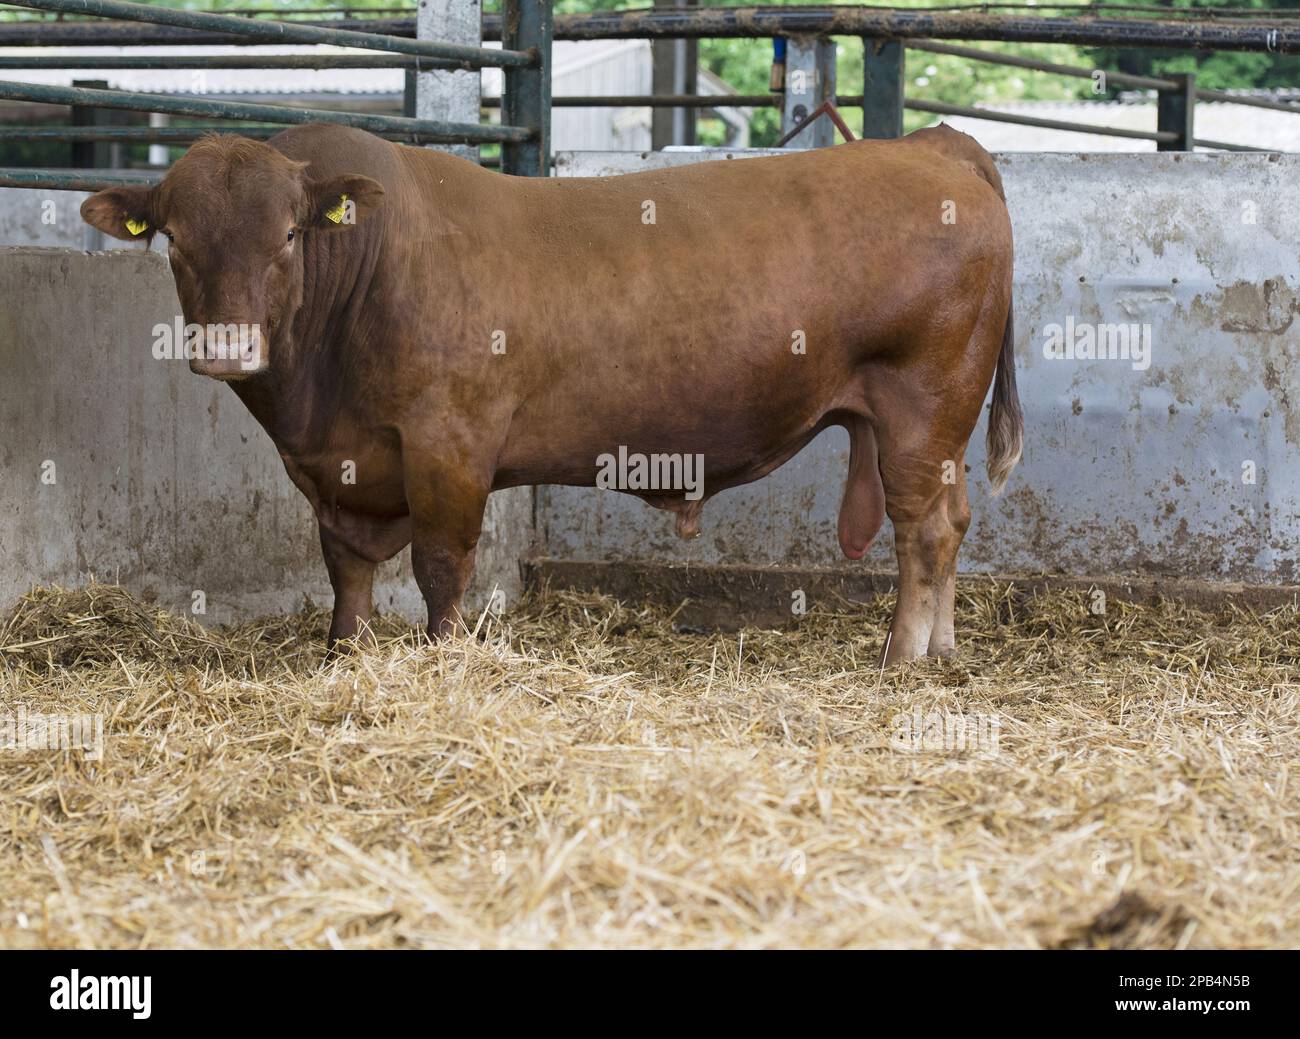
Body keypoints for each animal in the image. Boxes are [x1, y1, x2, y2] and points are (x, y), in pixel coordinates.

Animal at [80, 122, 1020, 665]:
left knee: (925, 529)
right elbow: (345, 570)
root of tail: (932, 142)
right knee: (951, 520)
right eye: (174, 239)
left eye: (285, 235)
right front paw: (344, 655)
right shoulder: (336, 467)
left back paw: (903, 657)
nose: (226, 348)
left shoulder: (448, 442)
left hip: (921, 405)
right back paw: (940, 650)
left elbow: (440, 566)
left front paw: (442, 661)